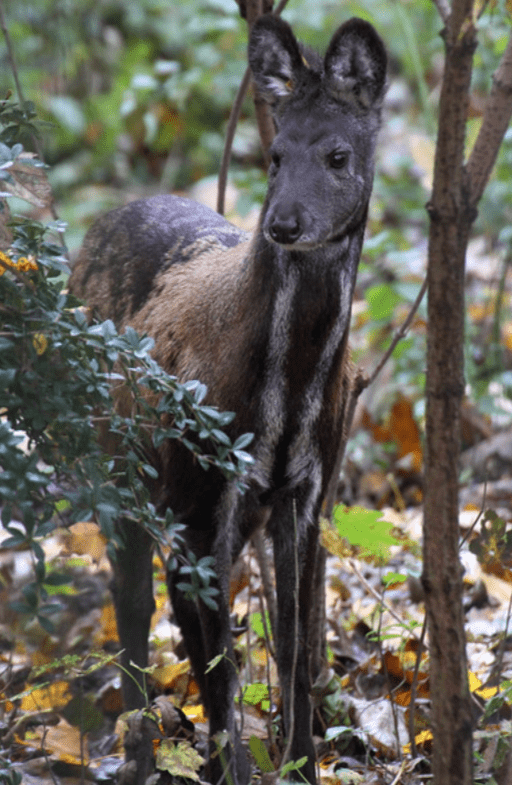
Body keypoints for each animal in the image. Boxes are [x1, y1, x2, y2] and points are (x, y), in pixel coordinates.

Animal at [70, 15, 386, 784]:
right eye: (273, 154)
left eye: (338, 154)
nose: (284, 224)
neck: (282, 402)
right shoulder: (194, 496)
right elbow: (218, 666)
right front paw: (227, 768)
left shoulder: (303, 492)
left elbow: (293, 645)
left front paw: (301, 765)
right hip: (116, 464)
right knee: (131, 611)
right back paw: (138, 754)